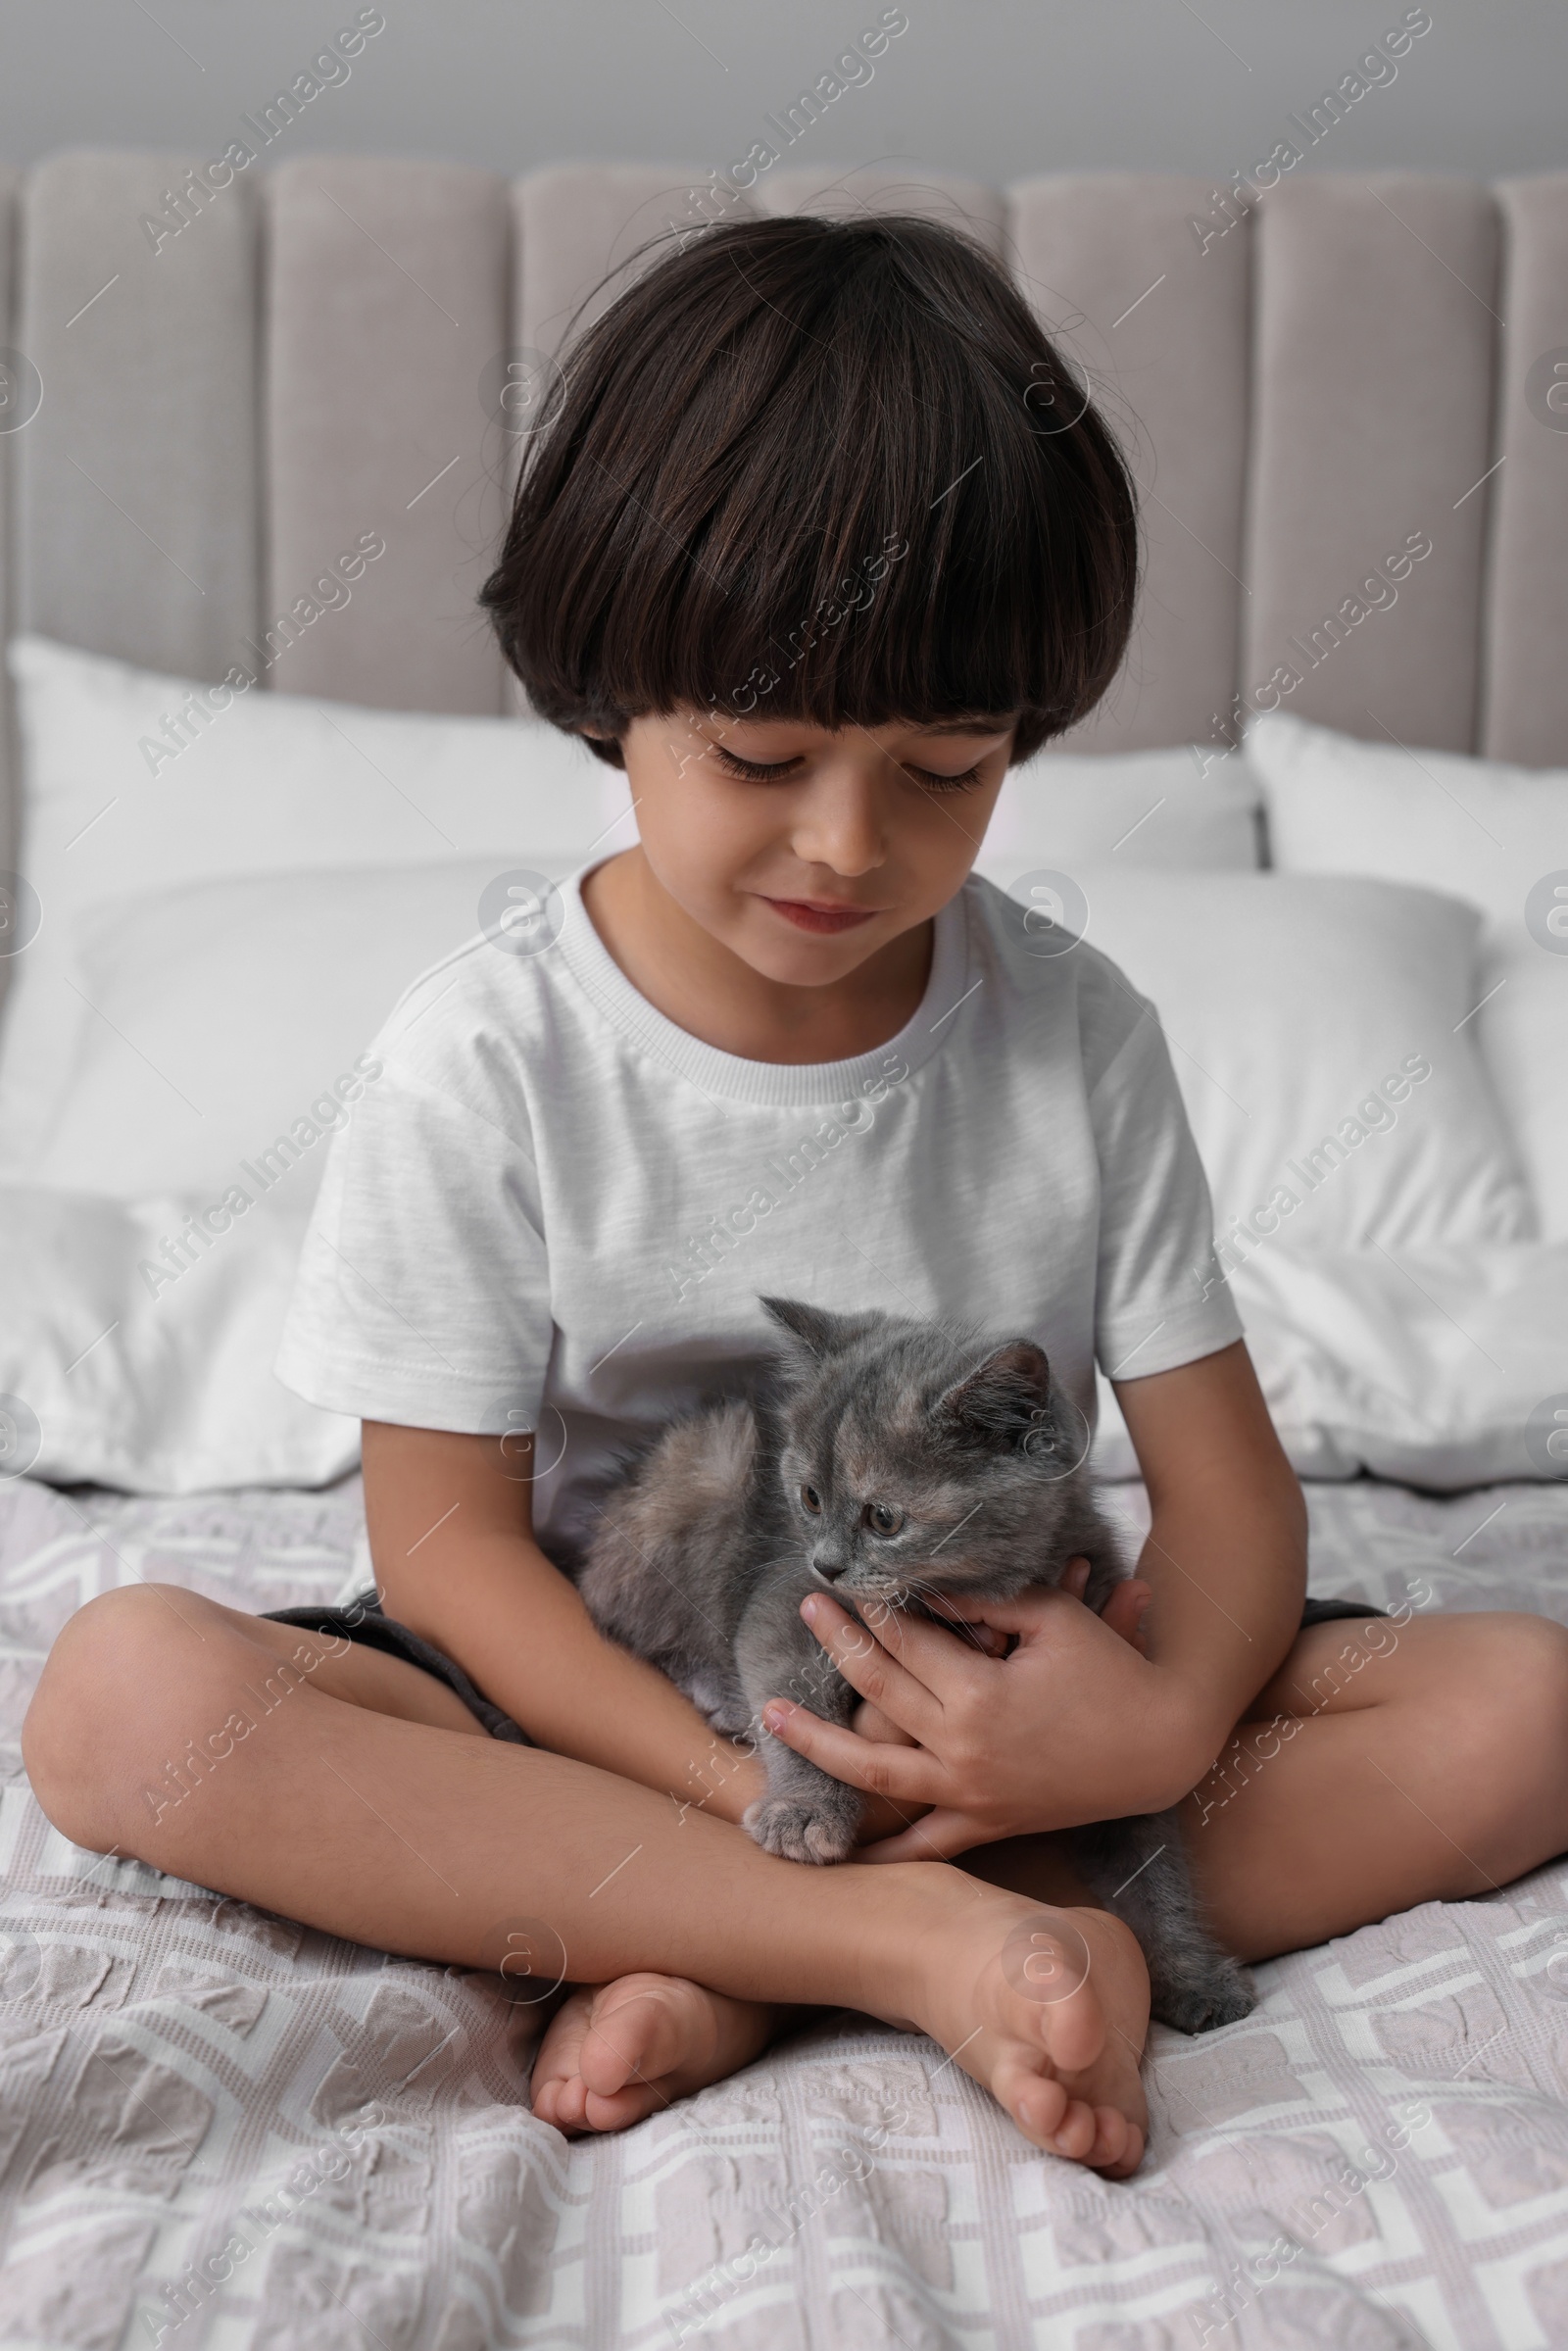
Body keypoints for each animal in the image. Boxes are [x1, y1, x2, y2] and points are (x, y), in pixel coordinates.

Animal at [570, 1298, 1259, 2031]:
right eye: (809, 1499)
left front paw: (1193, 1976)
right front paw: (804, 1813)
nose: (828, 1563)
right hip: (708, 1467)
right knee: (626, 1614)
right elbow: (793, 1704)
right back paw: (721, 1699)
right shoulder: (786, 1603)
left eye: (884, 1518)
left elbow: (1148, 1856)